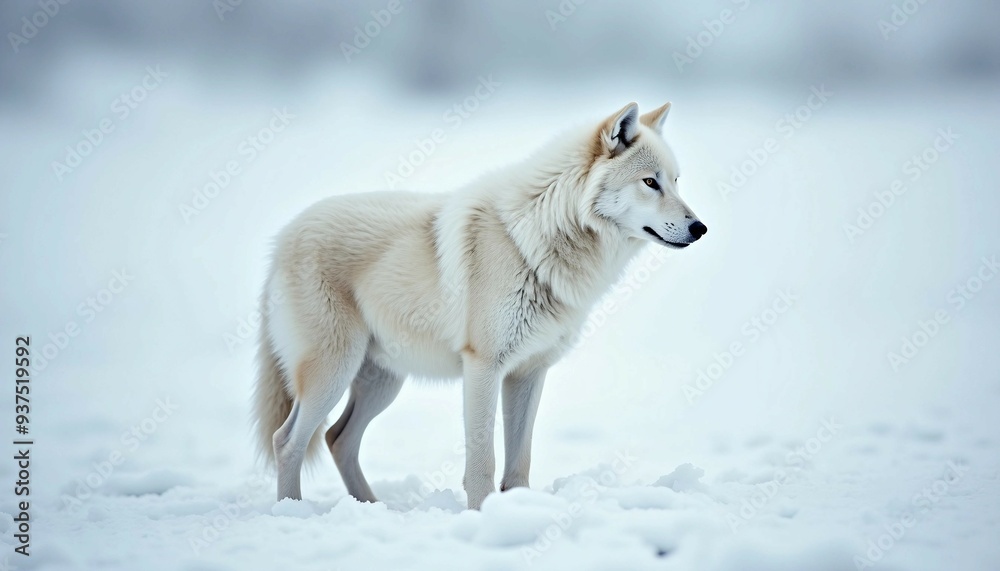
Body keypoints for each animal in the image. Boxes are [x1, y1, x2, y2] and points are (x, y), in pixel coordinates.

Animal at [252, 102, 707, 509]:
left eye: (676, 181)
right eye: (650, 183)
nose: (700, 227)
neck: (534, 241)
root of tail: (281, 240)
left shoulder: (528, 373)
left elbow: (519, 461)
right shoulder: (483, 366)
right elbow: (482, 460)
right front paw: (479, 516)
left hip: (382, 383)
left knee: (337, 439)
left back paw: (371, 507)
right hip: (333, 372)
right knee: (287, 441)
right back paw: (291, 511)